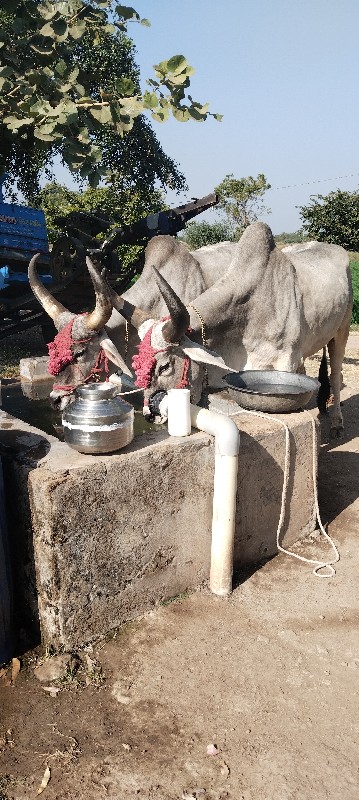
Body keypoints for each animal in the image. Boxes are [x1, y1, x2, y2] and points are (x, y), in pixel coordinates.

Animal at [28, 220, 354, 438]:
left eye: (80, 352)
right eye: (52, 350)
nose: (55, 399)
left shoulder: (286, 362)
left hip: (342, 330)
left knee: (336, 376)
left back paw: (337, 422)